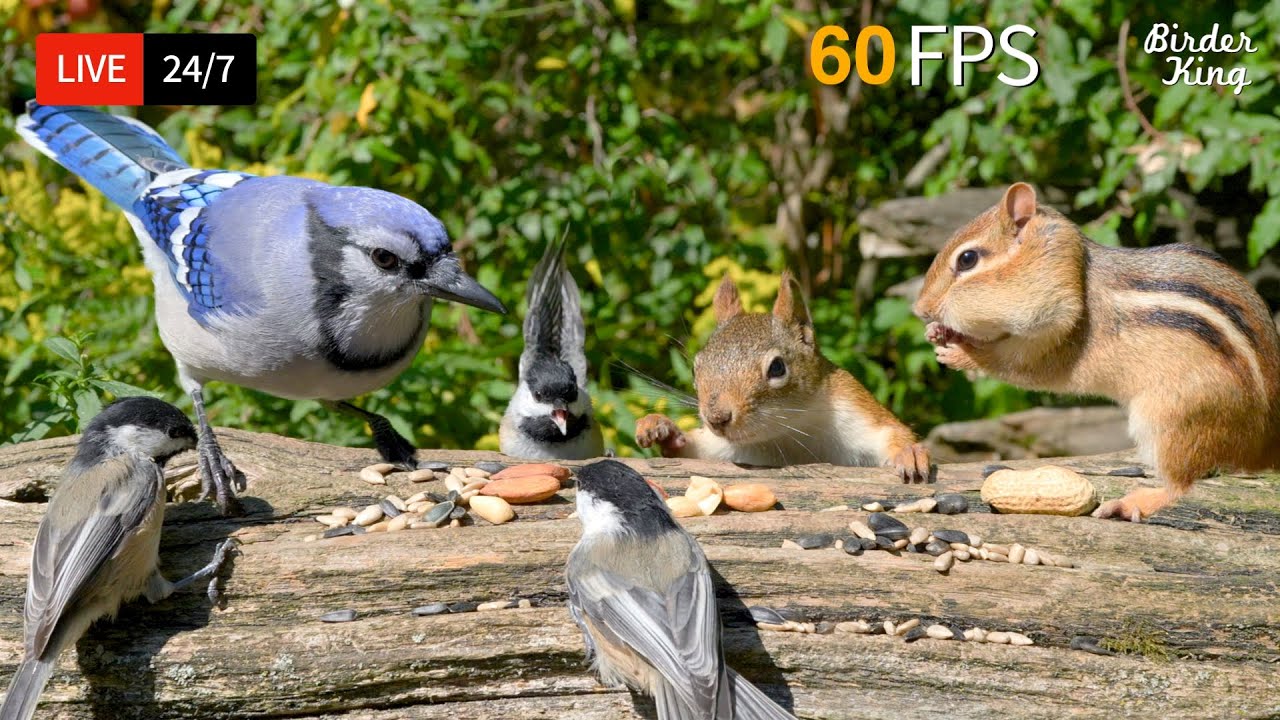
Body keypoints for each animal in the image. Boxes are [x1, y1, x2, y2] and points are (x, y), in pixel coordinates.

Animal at [635, 270, 932, 482]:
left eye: (777, 368)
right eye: (696, 368)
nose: (716, 419)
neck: (789, 431)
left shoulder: (856, 410)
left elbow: (893, 432)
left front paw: (908, 453)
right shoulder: (726, 449)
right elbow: (692, 452)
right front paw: (660, 428)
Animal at [914, 182, 1280, 521]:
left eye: (967, 259)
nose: (920, 310)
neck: (1073, 271)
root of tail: (1262, 443)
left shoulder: (1058, 332)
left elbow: (1014, 363)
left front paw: (962, 353)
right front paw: (939, 332)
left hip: (1171, 418)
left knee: (1181, 485)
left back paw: (1128, 504)